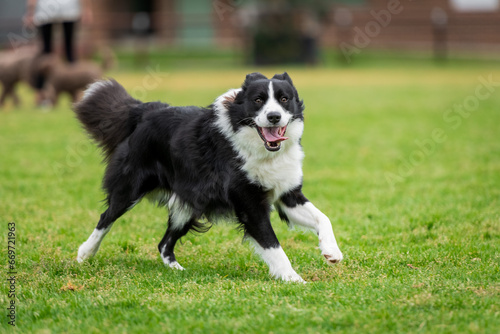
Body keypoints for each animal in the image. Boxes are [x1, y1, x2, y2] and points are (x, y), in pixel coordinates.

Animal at [74, 73, 342, 282]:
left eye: (284, 99)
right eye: (258, 101)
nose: (274, 116)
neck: (261, 150)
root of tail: (147, 110)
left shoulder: (288, 195)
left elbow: (324, 218)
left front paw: (332, 252)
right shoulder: (250, 205)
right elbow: (272, 243)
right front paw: (292, 278)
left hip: (189, 203)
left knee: (164, 243)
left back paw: (177, 269)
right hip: (130, 188)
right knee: (106, 218)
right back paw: (84, 254)